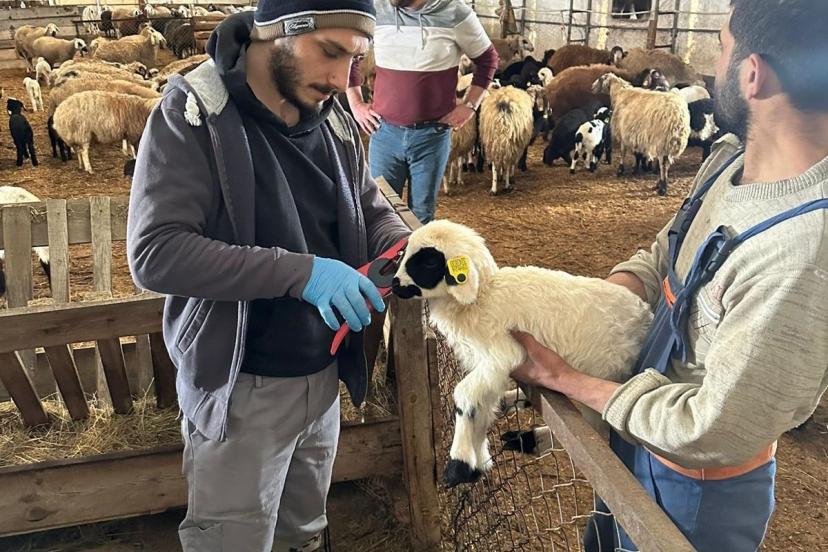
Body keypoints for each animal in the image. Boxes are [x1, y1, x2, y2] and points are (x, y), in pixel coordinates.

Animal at [390, 220, 652, 486]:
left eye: (429, 262)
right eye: (405, 253)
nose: (394, 284)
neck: (482, 298)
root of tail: (646, 315)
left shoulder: (504, 354)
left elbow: (464, 396)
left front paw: (459, 465)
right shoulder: (488, 365)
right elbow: (481, 406)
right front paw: (479, 462)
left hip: (605, 371)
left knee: (593, 427)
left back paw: (531, 439)